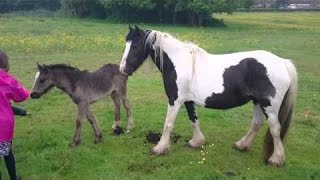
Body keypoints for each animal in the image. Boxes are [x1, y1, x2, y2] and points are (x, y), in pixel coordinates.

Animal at [119, 26, 298, 167]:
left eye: (135, 46)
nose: (122, 69)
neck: (179, 62)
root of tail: (283, 63)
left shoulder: (174, 100)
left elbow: (168, 124)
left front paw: (160, 148)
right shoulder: (188, 100)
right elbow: (194, 120)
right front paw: (196, 142)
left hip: (269, 106)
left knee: (275, 129)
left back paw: (276, 159)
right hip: (257, 102)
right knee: (256, 124)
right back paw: (241, 145)